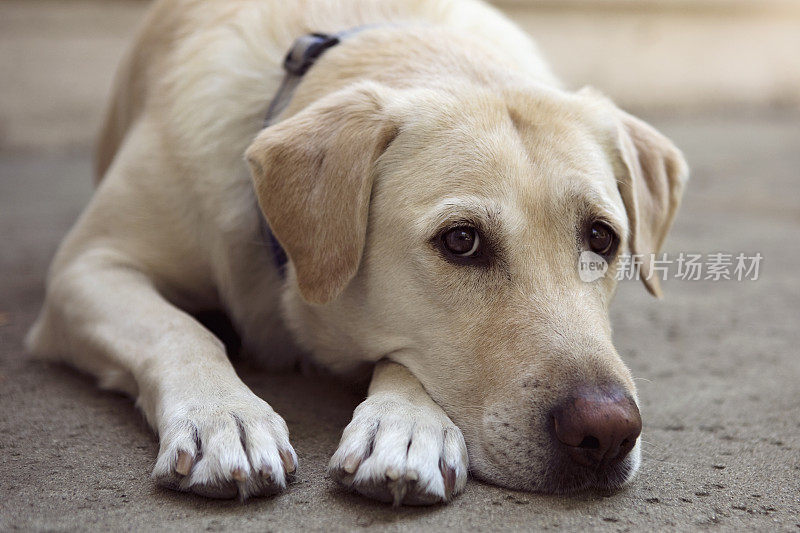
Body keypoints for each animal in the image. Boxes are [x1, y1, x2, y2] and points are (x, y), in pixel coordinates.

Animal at [25, 0, 688, 502]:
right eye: (462, 241)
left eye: (601, 237)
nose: (608, 432)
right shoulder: (88, 266)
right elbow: (179, 330)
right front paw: (225, 418)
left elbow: (398, 358)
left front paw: (405, 427)